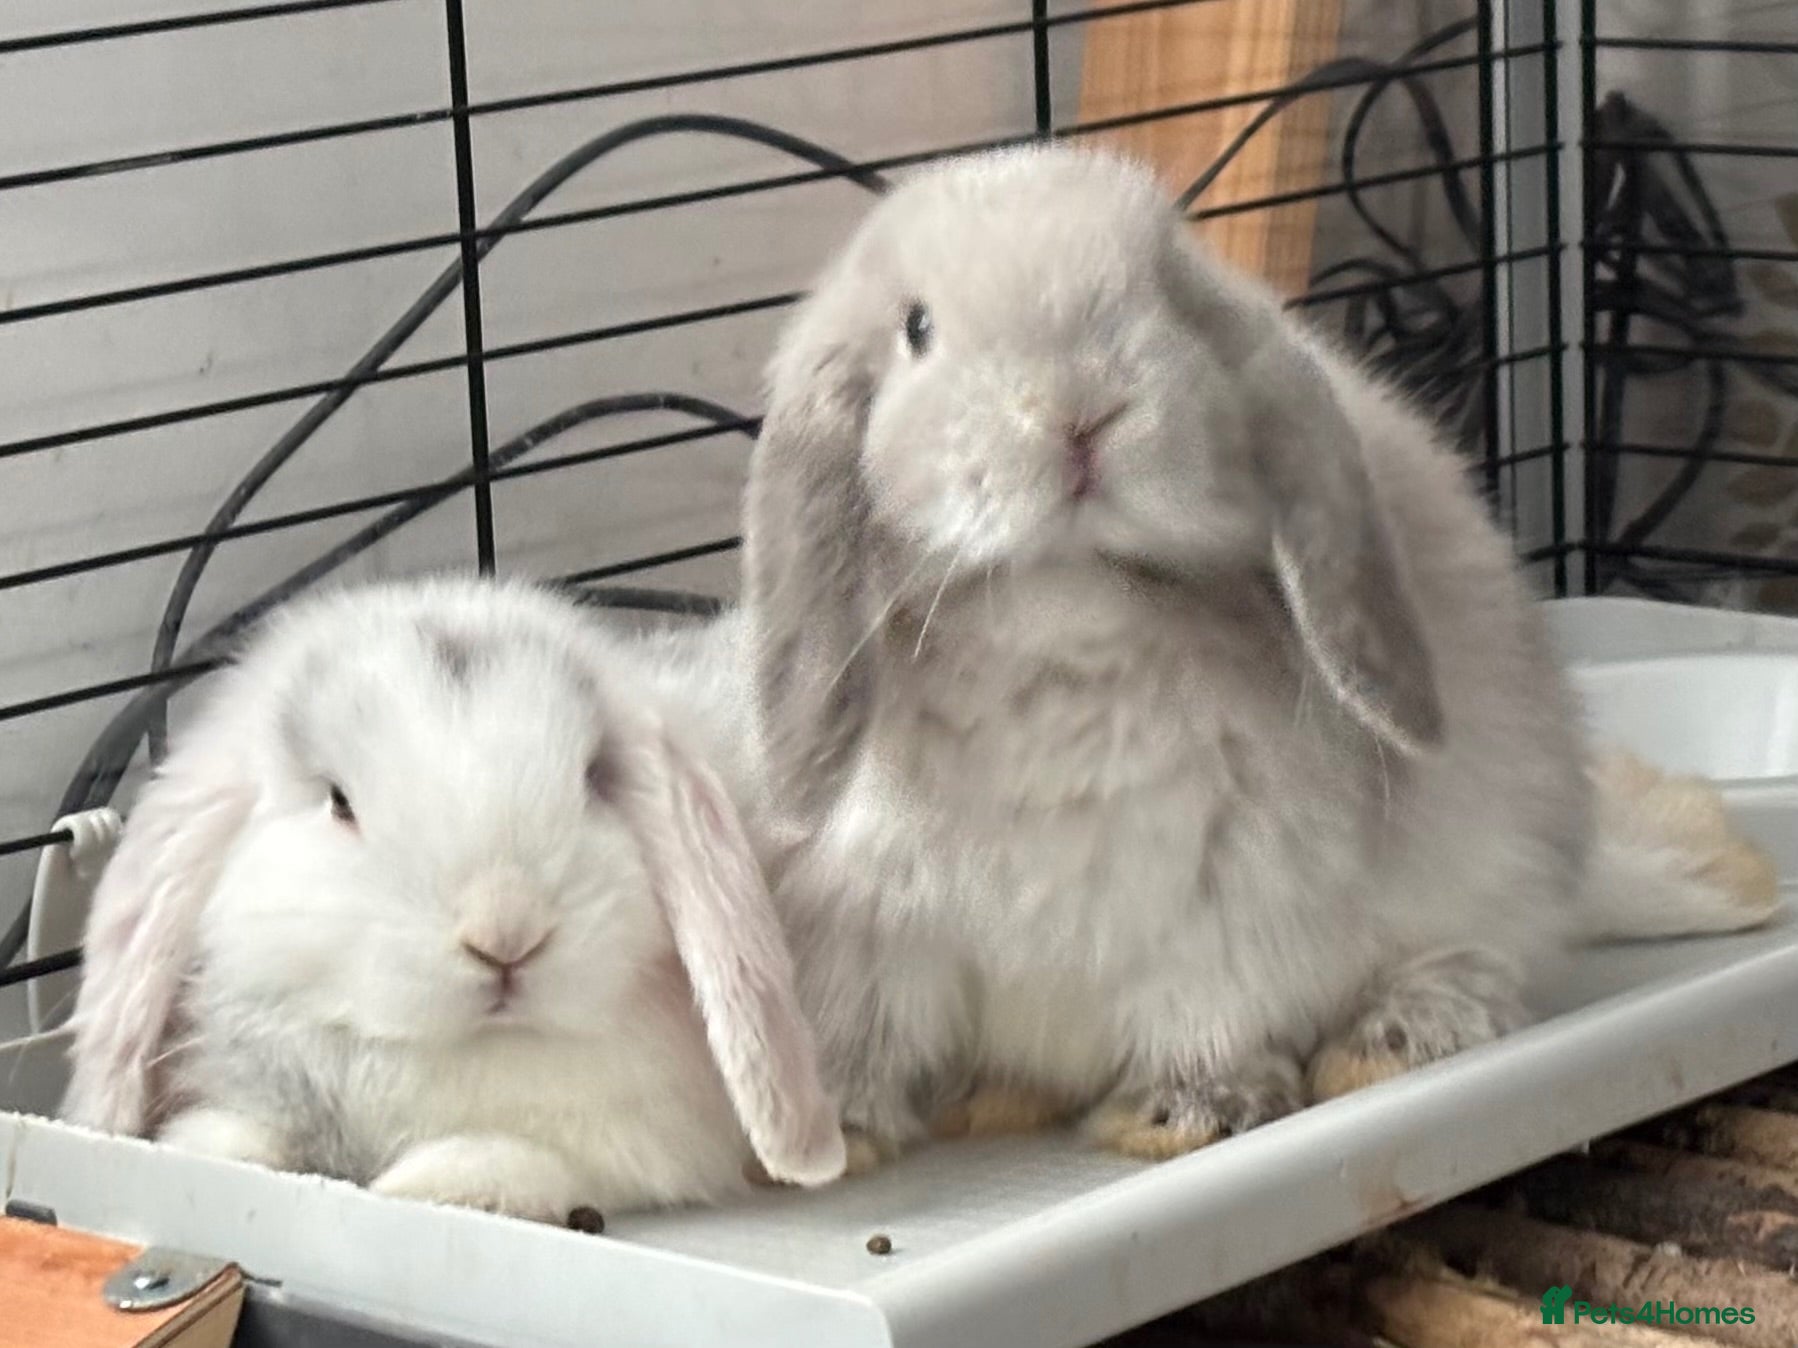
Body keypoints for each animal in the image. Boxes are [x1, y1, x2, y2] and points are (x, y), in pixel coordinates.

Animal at [61, 575, 845, 1221]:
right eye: (339, 802)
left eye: (593, 779)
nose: (505, 934)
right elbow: (230, 1141)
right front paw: (208, 1152)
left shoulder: (636, 1144)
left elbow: (520, 1162)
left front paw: (421, 1188)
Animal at [738, 143, 1779, 1168]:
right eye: (915, 328)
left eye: (1163, 298)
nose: (1082, 410)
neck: (1059, 619)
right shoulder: (879, 932)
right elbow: (873, 1031)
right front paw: (840, 1135)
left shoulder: (1224, 913)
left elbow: (1204, 1019)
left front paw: (1185, 1117)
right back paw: (989, 1097)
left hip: (1493, 858)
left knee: (1480, 964)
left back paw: (1386, 1041)